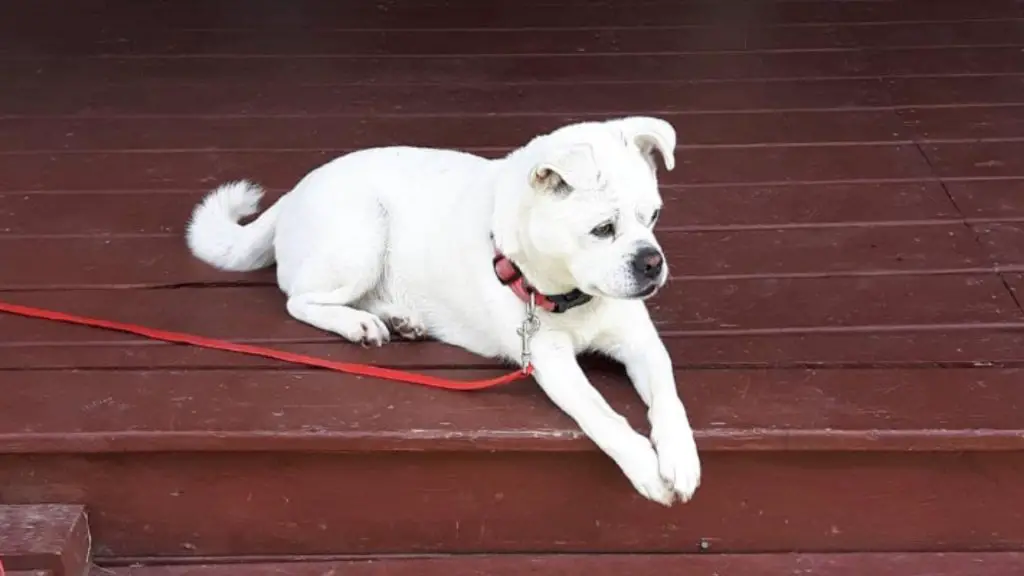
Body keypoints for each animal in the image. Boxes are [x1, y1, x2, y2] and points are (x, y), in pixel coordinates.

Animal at [186, 115, 696, 502]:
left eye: (653, 216)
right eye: (602, 229)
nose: (652, 262)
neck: (572, 296)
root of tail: (293, 192)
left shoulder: (641, 343)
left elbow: (669, 399)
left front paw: (680, 458)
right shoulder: (550, 360)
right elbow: (601, 414)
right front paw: (645, 466)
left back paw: (399, 319)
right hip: (362, 232)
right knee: (300, 300)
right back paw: (358, 324)